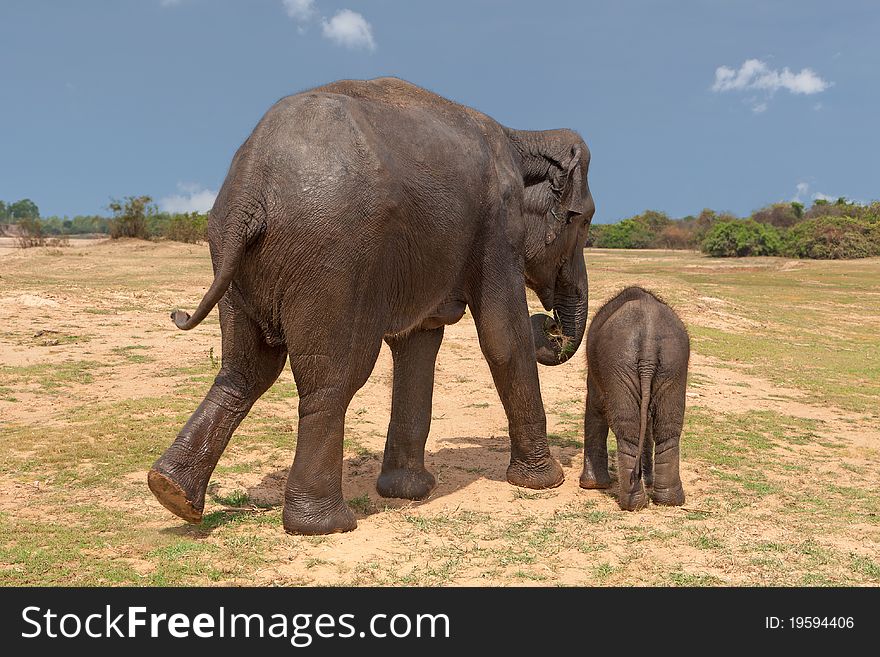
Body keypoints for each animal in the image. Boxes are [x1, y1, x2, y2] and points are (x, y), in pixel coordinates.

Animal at [148, 78, 596, 532]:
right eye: (584, 221)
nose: (550, 325)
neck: (522, 137)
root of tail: (251, 187)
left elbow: (419, 341)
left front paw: (408, 492)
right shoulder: (498, 224)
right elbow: (503, 337)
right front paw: (546, 482)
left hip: (230, 252)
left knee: (246, 370)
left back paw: (172, 492)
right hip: (333, 260)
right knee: (334, 377)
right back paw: (326, 525)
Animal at [580, 284, 692, 510]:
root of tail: (648, 341)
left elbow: (596, 406)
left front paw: (591, 485)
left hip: (619, 364)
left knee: (628, 429)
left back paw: (632, 504)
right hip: (673, 363)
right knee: (668, 426)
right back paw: (669, 501)